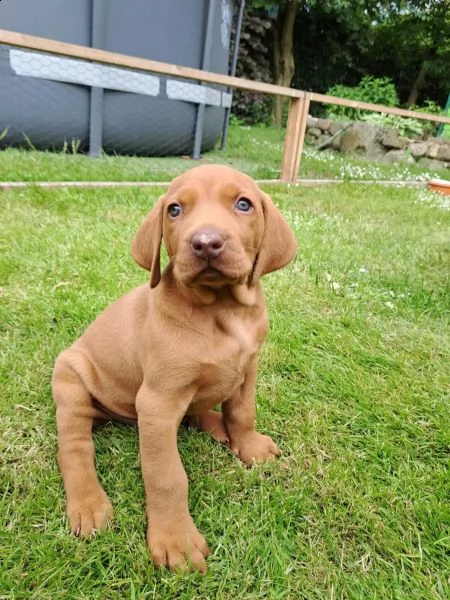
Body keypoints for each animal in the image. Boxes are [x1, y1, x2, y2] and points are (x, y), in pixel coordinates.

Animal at [52, 164, 298, 572]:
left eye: (243, 204)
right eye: (175, 210)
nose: (206, 243)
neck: (222, 311)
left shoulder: (248, 368)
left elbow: (242, 412)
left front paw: (248, 445)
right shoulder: (157, 404)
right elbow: (166, 475)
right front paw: (175, 540)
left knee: (201, 411)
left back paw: (217, 426)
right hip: (70, 378)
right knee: (74, 447)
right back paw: (88, 504)